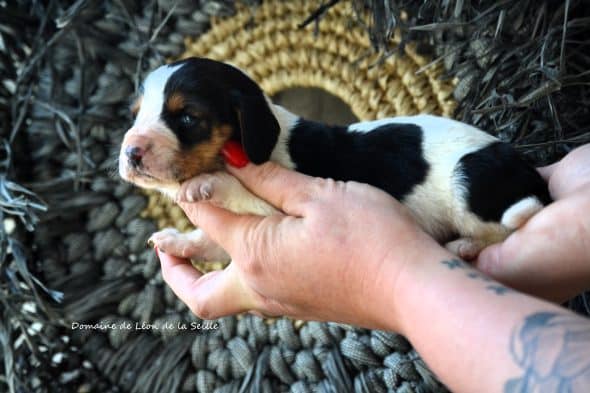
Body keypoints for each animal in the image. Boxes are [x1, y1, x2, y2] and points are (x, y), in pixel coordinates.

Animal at [118, 56, 552, 260]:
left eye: (188, 117)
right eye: (135, 114)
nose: (130, 152)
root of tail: (531, 177)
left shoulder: (279, 208)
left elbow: (238, 192)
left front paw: (207, 184)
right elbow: (211, 241)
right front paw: (178, 242)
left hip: (469, 180)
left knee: (505, 228)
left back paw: (462, 247)